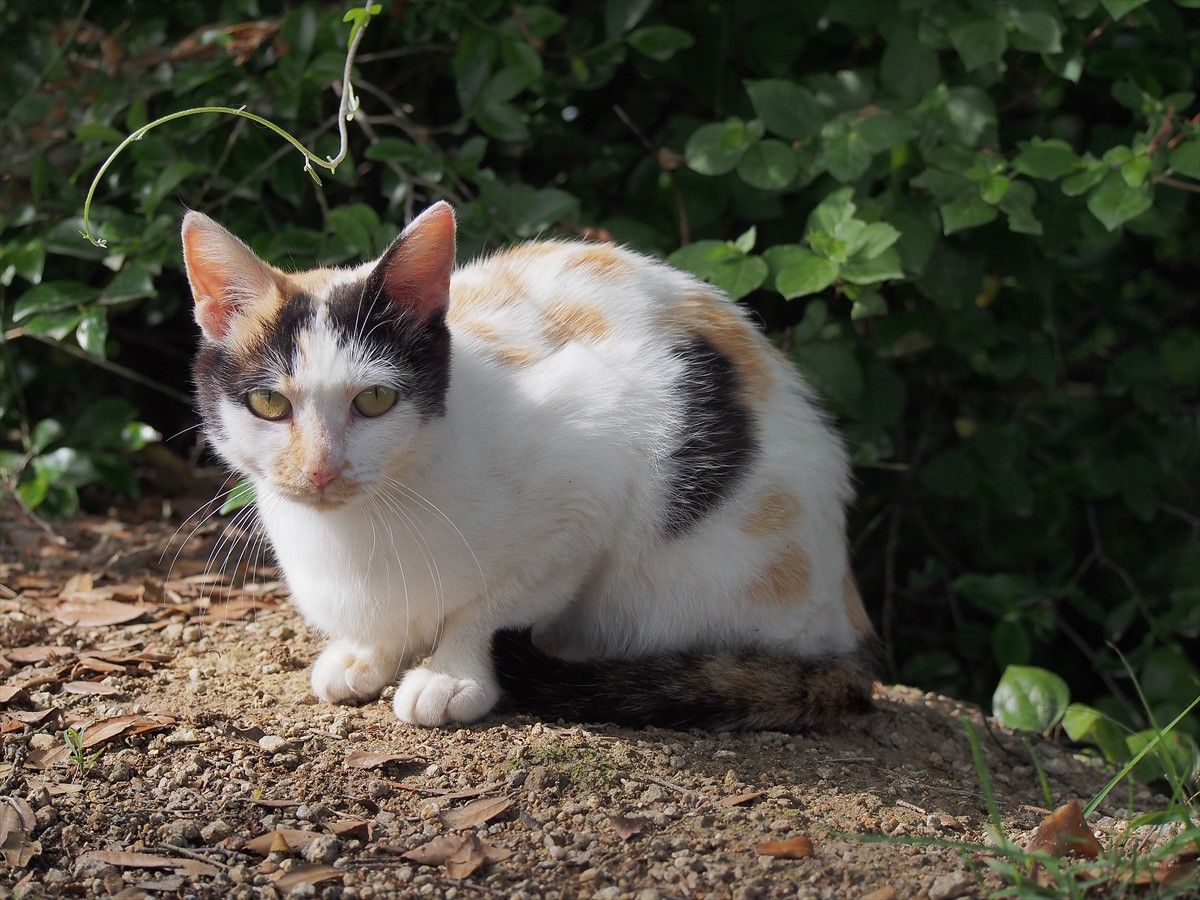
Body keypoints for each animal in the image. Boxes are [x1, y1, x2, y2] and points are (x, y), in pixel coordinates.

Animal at [183, 201, 876, 731]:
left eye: (374, 400)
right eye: (270, 404)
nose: (321, 469)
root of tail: (848, 613)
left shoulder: (596, 471)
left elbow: (491, 608)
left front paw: (450, 674)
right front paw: (364, 656)